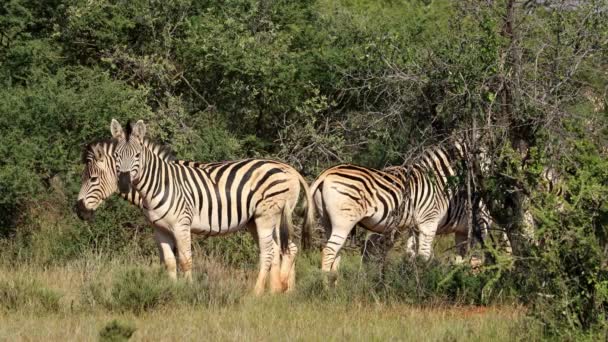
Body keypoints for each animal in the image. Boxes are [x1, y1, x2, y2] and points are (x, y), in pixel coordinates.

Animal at [312, 139, 492, 276]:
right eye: (486, 162)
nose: (487, 187)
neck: (440, 182)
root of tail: (325, 174)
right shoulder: (429, 222)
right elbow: (425, 255)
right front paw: (423, 282)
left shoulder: (419, 226)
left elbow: (414, 254)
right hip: (344, 222)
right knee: (330, 251)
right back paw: (326, 289)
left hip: (327, 221)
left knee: (336, 253)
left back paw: (335, 285)